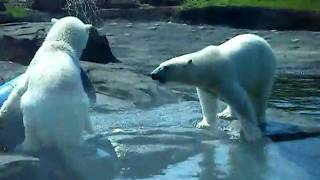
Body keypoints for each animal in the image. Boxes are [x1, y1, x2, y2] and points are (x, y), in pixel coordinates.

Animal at [0, 16, 93, 153]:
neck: (59, 45)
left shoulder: (33, 65)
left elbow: (19, 90)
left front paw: (2, 113)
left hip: (33, 109)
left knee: (30, 127)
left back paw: (23, 146)